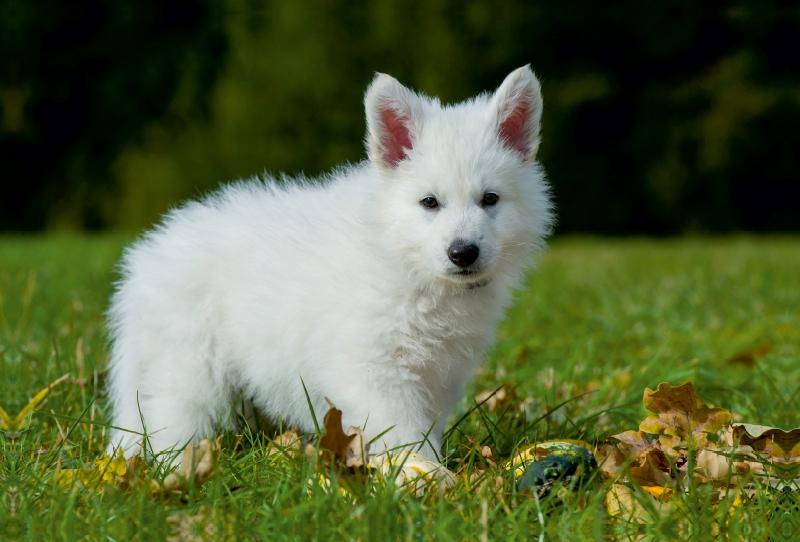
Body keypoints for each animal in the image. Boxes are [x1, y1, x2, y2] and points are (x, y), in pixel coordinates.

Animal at [106, 65, 552, 464]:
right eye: (429, 202)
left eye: (490, 199)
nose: (463, 252)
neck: (404, 262)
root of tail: (149, 253)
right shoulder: (372, 366)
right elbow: (402, 430)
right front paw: (423, 475)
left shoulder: (439, 375)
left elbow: (426, 426)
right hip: (191, 371)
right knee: (171, 424)